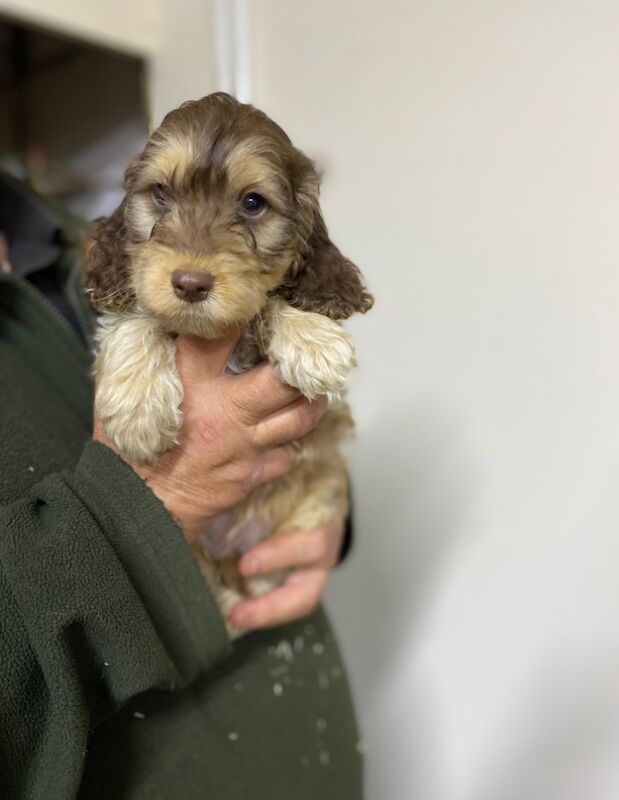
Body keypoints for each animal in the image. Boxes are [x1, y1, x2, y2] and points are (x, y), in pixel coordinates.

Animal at [85, 92, 376, 632]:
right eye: (160, 193)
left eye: (252, 203)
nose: (190, 283)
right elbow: (139, 314)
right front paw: (139, 409)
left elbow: (265, 302)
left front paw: (312, 339)